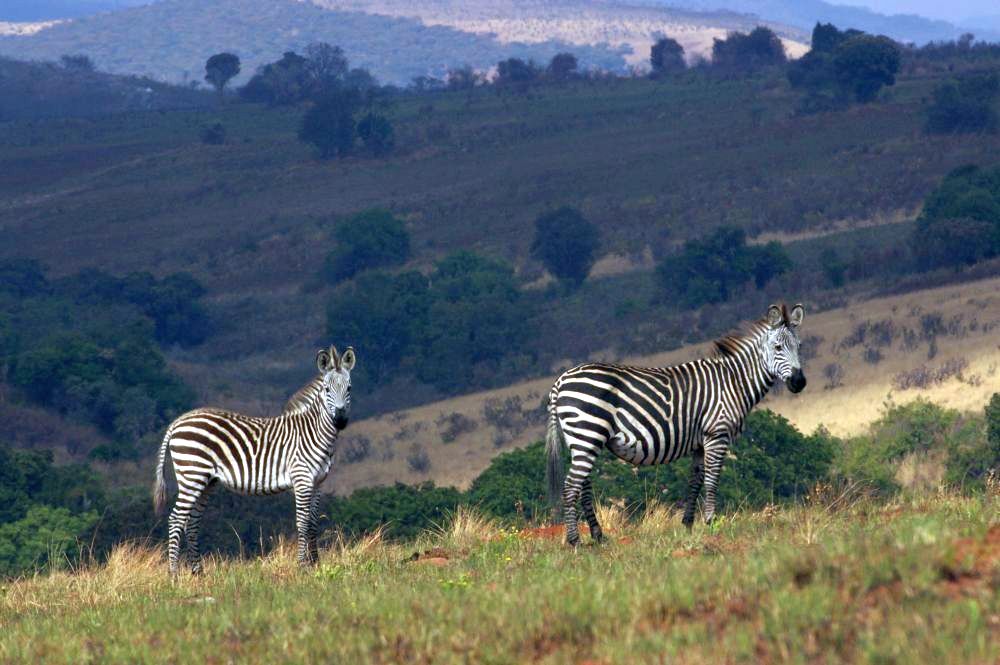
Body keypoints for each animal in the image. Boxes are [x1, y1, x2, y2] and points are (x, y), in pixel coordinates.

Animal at [148, 344, 352, 572]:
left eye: (349, 389)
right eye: (327, 390)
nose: (340, 420)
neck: (313, 431)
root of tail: (178, 421)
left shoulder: (318, 482)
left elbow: (314, 523)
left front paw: (316, 564)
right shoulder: (302, 479)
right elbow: (303, 522)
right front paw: (302, 566)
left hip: (206, 481)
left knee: (191, 522)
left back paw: (198, 573)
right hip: (192, 474)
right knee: (176, 519)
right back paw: (174, 573)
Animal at [544, 304, 808, 544]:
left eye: (799, 346)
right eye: (777, 347)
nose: (799, 382)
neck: (734, 381)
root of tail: (561, 380)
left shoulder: (701, 442)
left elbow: (695, 482)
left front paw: (688, 526)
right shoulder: (717, 435)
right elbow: (712, 481)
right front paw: (711, 523)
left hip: (582, 439)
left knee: (583, 486)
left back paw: (598, 536)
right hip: (588, 434)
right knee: (571, 487)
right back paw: (574, 541)